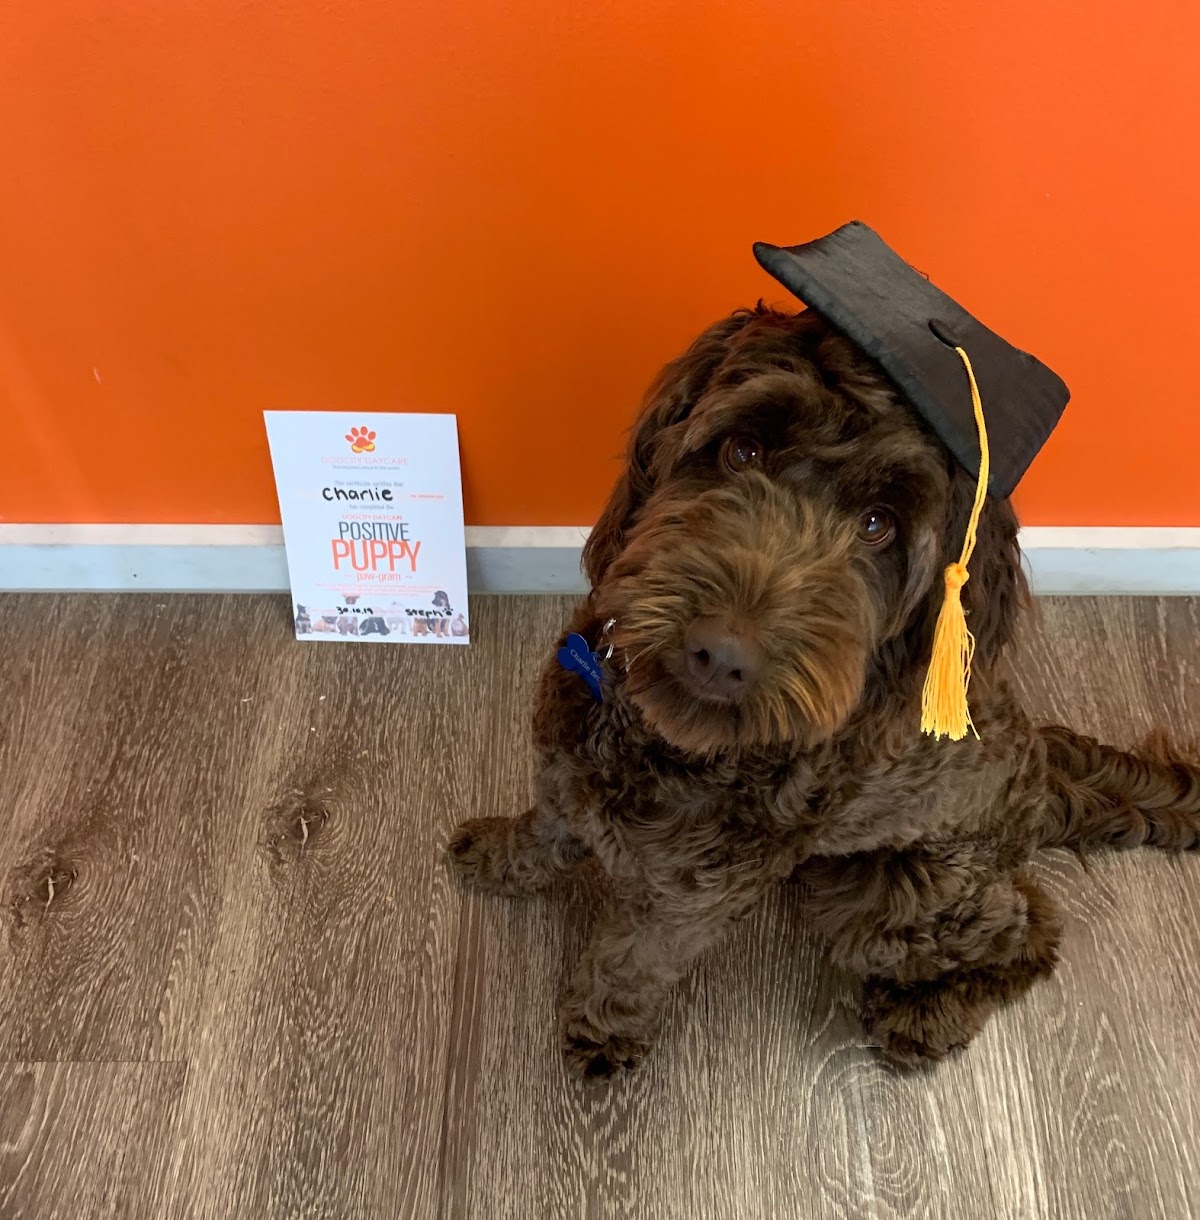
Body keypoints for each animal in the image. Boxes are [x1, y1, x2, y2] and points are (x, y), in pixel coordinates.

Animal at [447, 305, 1200, 1079]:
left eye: (877, 525)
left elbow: (634, 961)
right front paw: (501, 856)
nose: (722, 653)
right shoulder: (563, 772)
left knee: (1026, 929)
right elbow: (545, 829)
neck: (667, 746)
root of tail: (1042, 771)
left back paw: (926, 1016)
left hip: (889, 896)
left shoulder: (690, 900)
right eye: (741, 450)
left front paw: (602, 1031)